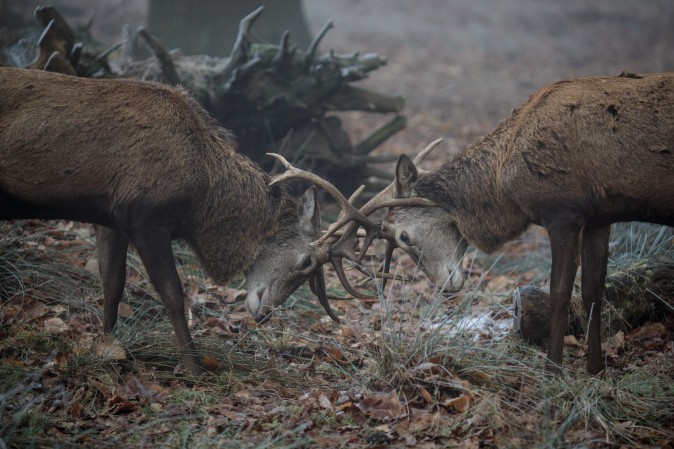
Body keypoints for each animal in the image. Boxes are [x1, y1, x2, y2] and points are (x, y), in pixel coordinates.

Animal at [0, 66, 385, 375]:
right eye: (306, 262)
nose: (265, 315)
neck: (201, 201)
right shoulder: (146, 216)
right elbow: (172, 292)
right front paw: (194, 366)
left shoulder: (109, 218)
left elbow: (111, 284)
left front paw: (104, 347)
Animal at [278, 72, 674, 375]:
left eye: (403, 235)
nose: (443, 287)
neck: (506, 183)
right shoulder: (600, 216)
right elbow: (594, 292)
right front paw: (595, 372)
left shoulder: (564, 210)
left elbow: (561, 291)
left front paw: (553, 370)